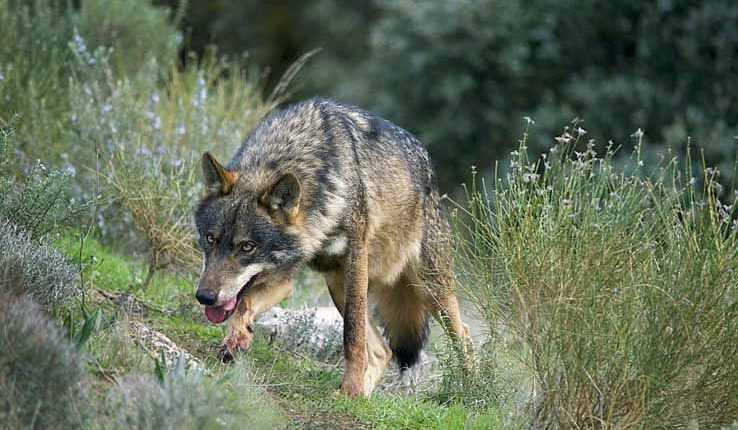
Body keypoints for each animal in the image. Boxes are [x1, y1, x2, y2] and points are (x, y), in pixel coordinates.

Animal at [194, 97, 470, 396]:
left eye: (247, 247)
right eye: (210, 239)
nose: (204, 297)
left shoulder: (355, 261)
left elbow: (352, 335)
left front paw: (351, 387)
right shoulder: (284, 275)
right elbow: (244, 303)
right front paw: (235, 339)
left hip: (429, 289)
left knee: (463, 335)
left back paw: (471, 387)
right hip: (338, 286)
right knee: (382, 351)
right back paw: (361, 397)